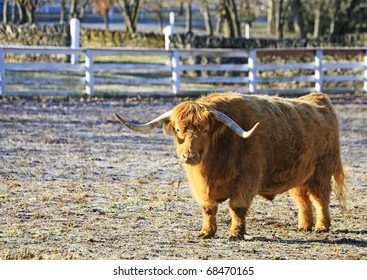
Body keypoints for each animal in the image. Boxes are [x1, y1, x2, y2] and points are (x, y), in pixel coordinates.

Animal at [115, 92, 348, 241]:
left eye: (205, 130)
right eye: (179, 130)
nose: (189, 155)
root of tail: (318, 99)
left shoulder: (246, 180)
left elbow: (237, 208)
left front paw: (236, 234)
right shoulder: (200, 188)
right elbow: (208, 208)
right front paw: (206, 232)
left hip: (321, 172)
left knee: (321, 199)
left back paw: (321, 227)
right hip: (298, 176)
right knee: (303, 200)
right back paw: (304, 226)